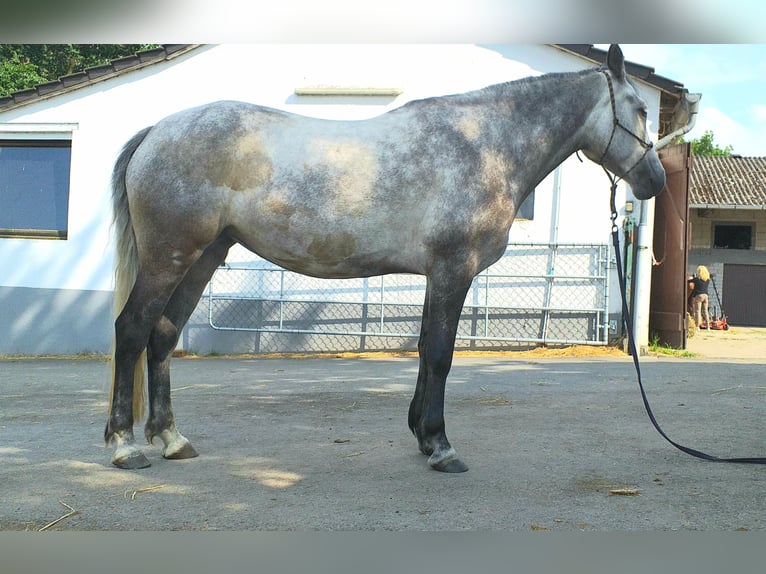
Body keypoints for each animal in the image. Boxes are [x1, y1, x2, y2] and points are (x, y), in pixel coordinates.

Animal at [105, 45, 664, 474]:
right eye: (639, 109)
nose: (655, 181)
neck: (484, 145)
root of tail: (157, 131)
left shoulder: (437, 275)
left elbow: (422, 349)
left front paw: (421, 435)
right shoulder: (454, 270)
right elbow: (439, 354)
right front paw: (441, 447)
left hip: (202, 257)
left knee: (163, 334)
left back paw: (172, 439)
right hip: (168, 258)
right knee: (132, 329)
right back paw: (124, 446)